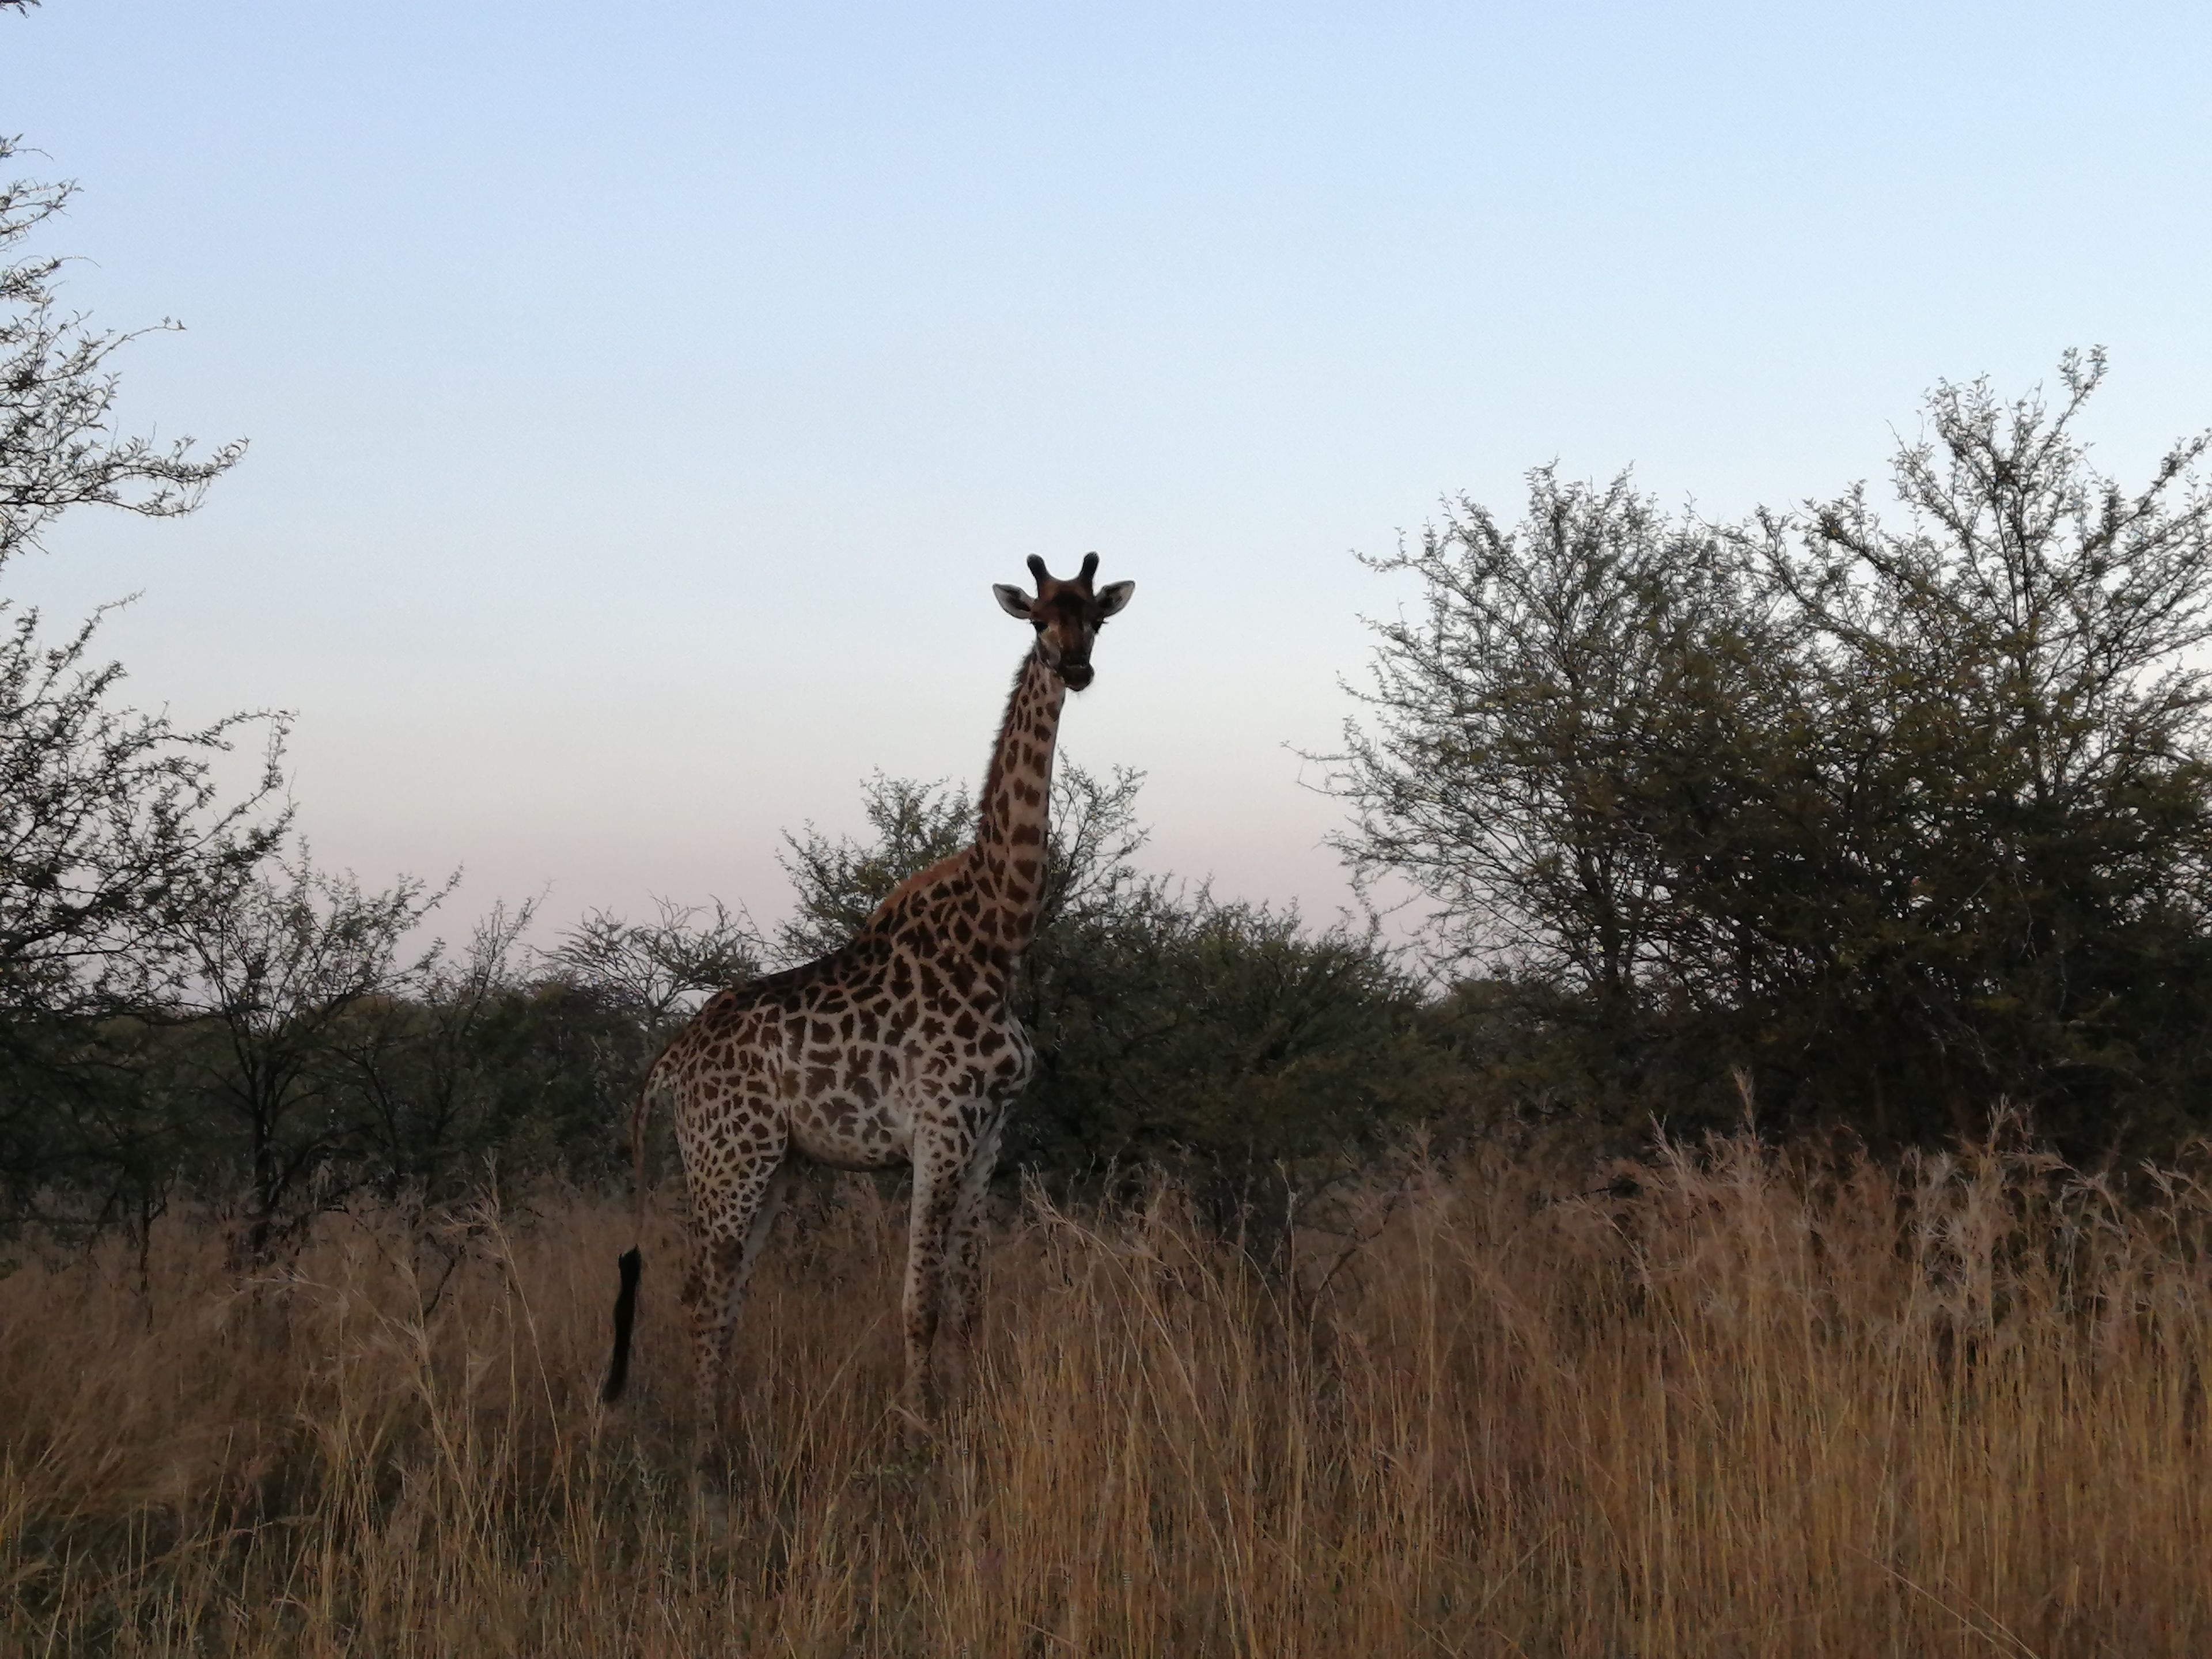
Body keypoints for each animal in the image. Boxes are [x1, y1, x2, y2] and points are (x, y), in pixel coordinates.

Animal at [602, 553, 1136, 1419]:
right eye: (1036, 619)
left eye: (1096, 617)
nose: (1077, 666)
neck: (998, 941)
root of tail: (671, 1062)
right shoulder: (939, 1128)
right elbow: (920, 1302)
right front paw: (919, 1426)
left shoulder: (989, 1134)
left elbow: (972, 1302)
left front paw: (967, 1415)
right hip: (728, 1157)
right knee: (700, 1293)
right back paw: (703, 1434)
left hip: (771, 1162)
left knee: (729, 1292)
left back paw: (721, 1424)